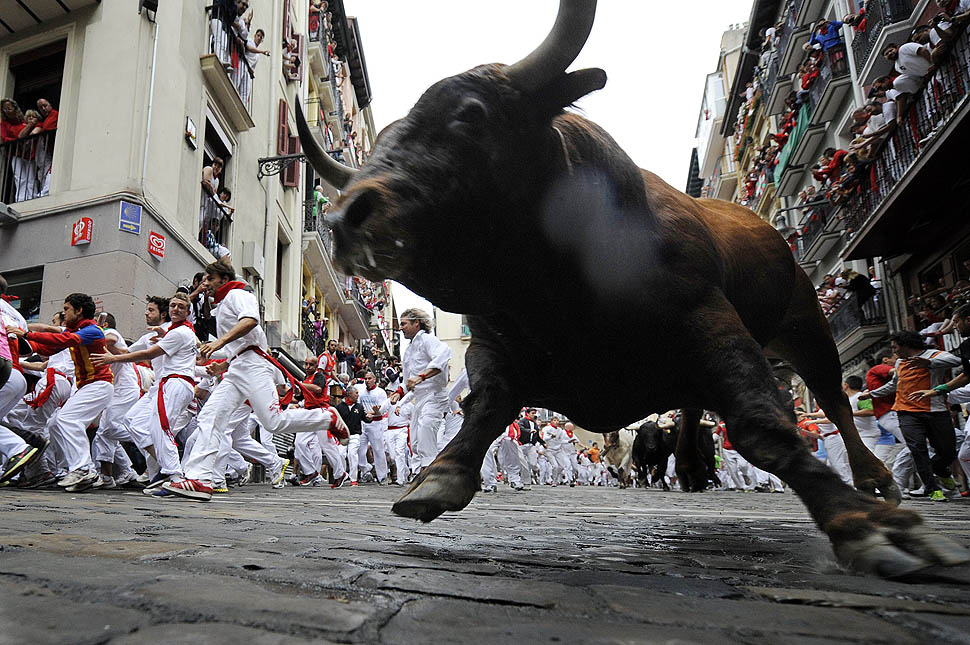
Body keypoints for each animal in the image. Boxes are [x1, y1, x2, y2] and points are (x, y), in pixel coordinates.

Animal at [296, 0, 968, 572]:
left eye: (470, 114)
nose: (345, 216)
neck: (557, 290)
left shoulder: (709, 319)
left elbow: (763, 422)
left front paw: (868, 526)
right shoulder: (494, 343)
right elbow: (484, 408)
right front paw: (438, 477)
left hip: (804, 325)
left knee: (833, 401)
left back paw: (874, 480)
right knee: (699, 405)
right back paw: (693, 464)